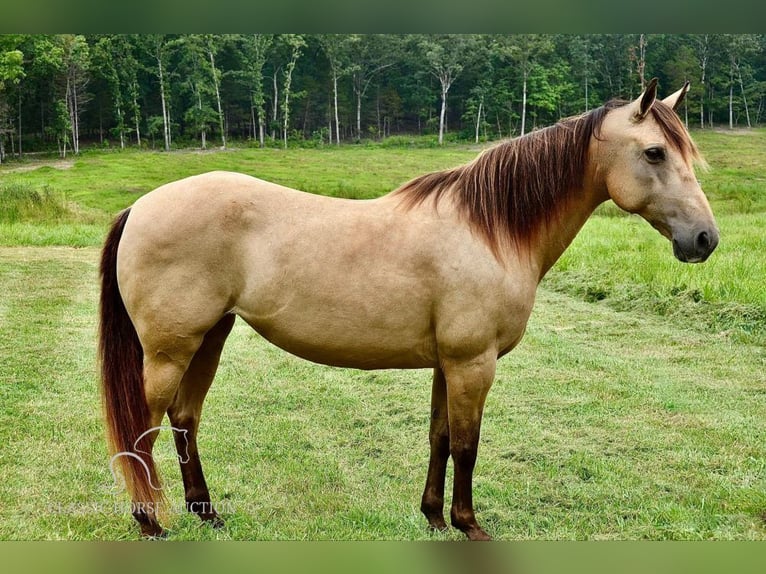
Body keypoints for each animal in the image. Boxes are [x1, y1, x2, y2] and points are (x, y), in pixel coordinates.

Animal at [97, 79, 720, 544]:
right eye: (655, 152)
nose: (704, 239)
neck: (489, 231)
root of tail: (141, 206)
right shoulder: (473, 363)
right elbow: (467, 444)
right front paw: (470, 526)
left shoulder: (448, 363)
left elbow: (439, 437)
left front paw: (435, 518)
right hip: (170, 349)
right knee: (145, 428)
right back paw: (151, 522)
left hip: (210, 337)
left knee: (185, 419)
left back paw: (207, 512)